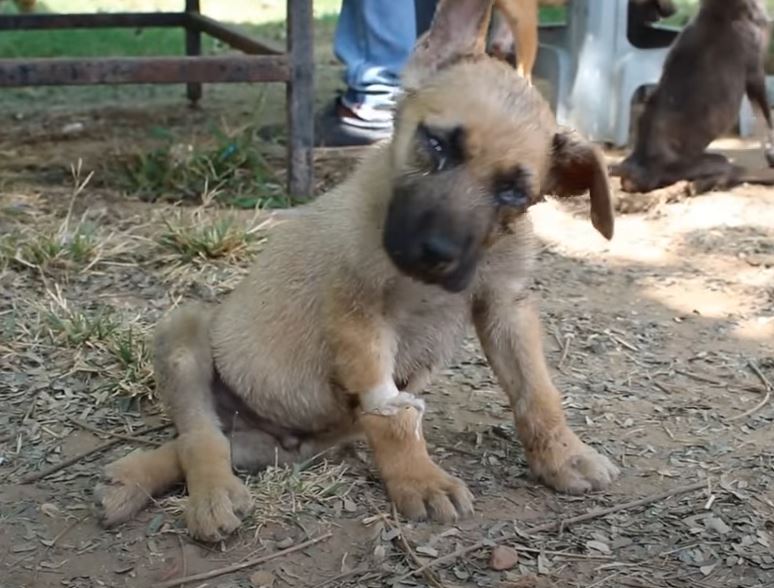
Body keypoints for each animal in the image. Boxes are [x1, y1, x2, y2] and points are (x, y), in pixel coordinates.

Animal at [97, 0, 620, 544]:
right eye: (436, 144)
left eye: (514, 192)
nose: (436, 253)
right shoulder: (361, 316)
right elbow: (390, 414)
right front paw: (420, 480)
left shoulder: (505, 307)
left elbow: (536, 391)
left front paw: (562, 454)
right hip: (186, 331)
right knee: (199, 434)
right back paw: (206, 495)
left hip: (280, 446)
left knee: (211, 441)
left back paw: (138, 478)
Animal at [612, 0, 774, 193]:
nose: (669, 10)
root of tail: (636, 169)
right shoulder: (755, 74)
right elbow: (766, 118)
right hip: (716, 161)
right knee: (736, 173)